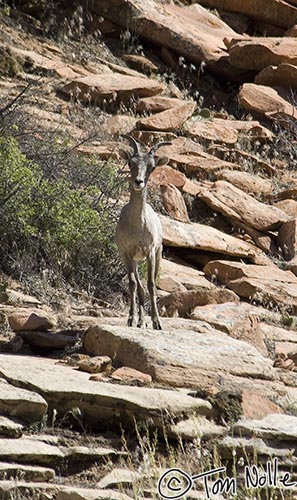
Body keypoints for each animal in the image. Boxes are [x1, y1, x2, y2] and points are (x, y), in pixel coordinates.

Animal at [115, 136, 171, 328]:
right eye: (130, 162)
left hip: (157, 255)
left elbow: (151, 284)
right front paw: (131, 319)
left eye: (152, 166)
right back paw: (140, 321)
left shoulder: (150, 252)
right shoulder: (127, 253)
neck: (137, 226)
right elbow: (133, 284)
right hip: (135, 260)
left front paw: (157, 323)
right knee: (138, 287)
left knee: (146, 285)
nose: (138, 182)